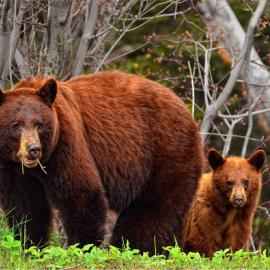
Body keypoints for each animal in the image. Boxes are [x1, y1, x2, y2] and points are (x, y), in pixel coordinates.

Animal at [0, 71, 202, 253]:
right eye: (16, 125)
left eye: (39, 124)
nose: (34, 149)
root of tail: (187, 112)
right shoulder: (12, 167)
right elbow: (25, 206)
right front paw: (31, 247)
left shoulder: (66, 142)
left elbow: (81, 192)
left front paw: (81, 248)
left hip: (165, 154)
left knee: (151, 211)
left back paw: (130, 249)